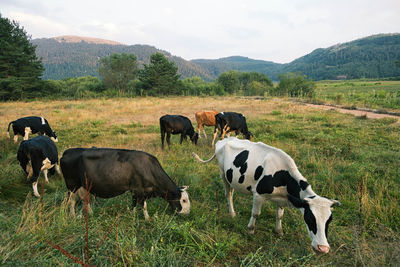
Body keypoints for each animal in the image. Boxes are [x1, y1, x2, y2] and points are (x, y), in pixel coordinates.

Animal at [59, 147, 191, 220]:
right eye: (184, 200)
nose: (188, 212)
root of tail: (67, 151)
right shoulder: (138, 189)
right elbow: (143, 205)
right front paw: (147, 218)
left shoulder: (135, 191)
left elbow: (134, 204)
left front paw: (132, 214)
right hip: (72, 185)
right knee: (72, 201)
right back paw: (73, 216)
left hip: (84, 185)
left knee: (84, 199)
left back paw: (90, 213)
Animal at [194, 138, 340, 255]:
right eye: (309, 218)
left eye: (329, 221)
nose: (323, 248)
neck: (281, 174)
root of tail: (224, 140)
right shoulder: (258, 194)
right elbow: (255, 214)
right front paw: (250, 230)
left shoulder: (282, 199)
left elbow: (279, 216)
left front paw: (279, 231)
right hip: (223, 174)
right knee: (228, 194)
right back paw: (232, 213)